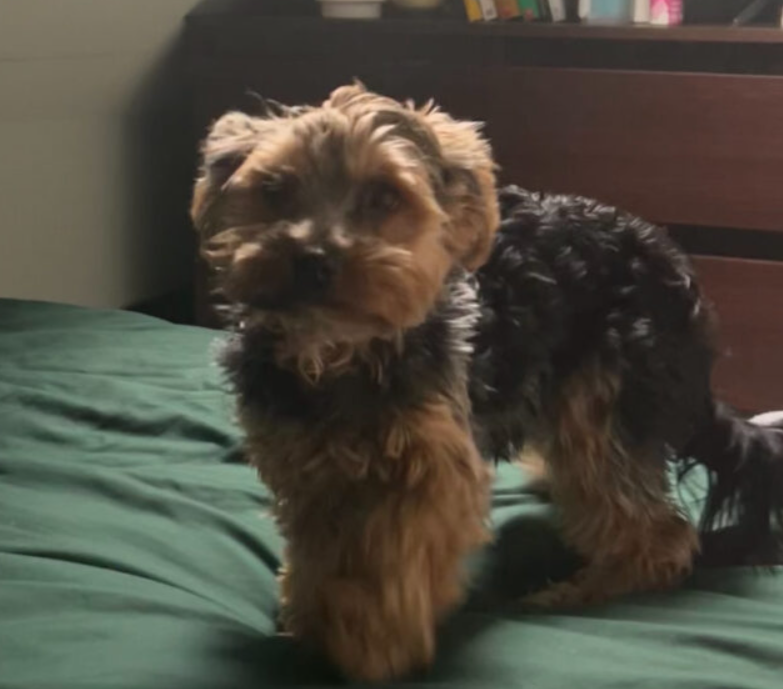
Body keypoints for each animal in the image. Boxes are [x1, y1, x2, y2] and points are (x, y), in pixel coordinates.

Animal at [191, 84, 783, 681]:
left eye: (384, 196)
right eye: (273, 190)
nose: (312, 260)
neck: (337, 352)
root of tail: (673, 262)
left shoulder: (430, 470)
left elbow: (389, 561)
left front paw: (372, 644)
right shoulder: (306, 465)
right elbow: (320, 550)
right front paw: (311, 615)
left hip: (607, 393)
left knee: (657, 532)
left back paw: (579, 590)